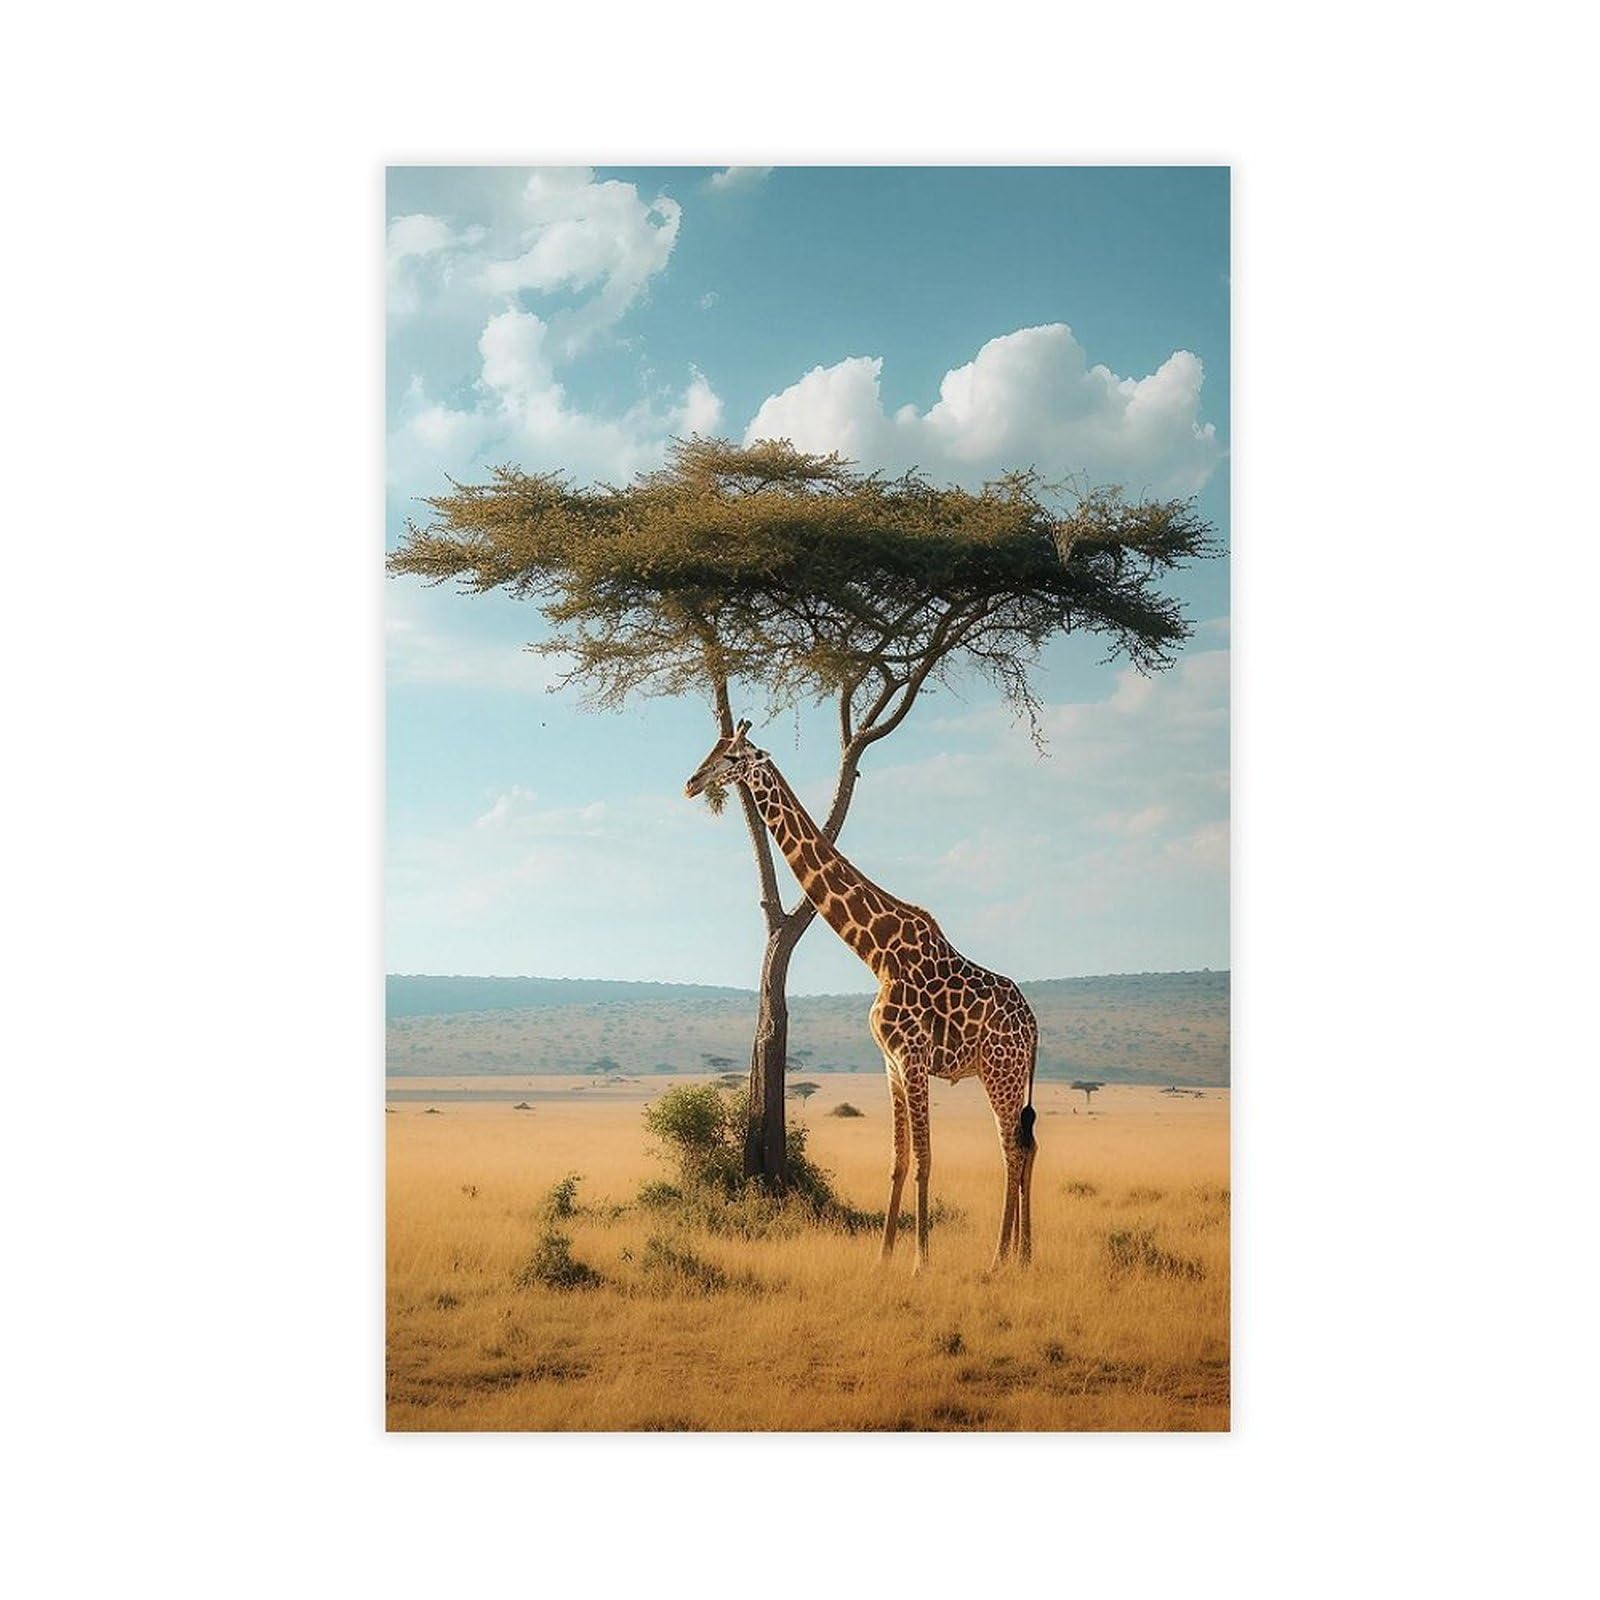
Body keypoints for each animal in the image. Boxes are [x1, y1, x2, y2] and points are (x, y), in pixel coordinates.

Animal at [685, 720, 1038, 1272]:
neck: (877, 952)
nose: (692, 783)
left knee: (1013, 1150)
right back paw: (1022, 1256)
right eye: (713, 748)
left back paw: (1001, 1258)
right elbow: (898, 1160)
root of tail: (1036, 1025)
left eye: (734, 756)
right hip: (1006, 1075)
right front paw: (883, 1257)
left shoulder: (912, 1057)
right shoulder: (890, 1062)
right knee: (1025, 1146)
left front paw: (920, 1262)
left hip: (1002, 1073)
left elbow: (925, 1158)